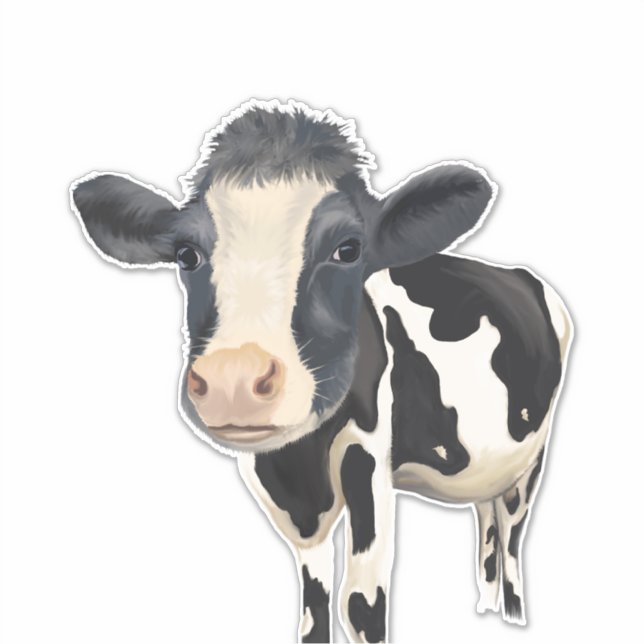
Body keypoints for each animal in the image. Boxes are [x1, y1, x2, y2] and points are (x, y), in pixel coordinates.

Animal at [70, 99, 573, 643]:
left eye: (347, 249)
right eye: (187, 255)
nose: (233, 381)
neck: (300, 460)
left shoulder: (368, 453)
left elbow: (361, 603)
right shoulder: (285, 490)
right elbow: (314, 602)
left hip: (530, 459)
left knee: (512, 542)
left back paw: (513, 616)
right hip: (487, 467)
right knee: (487, 525)